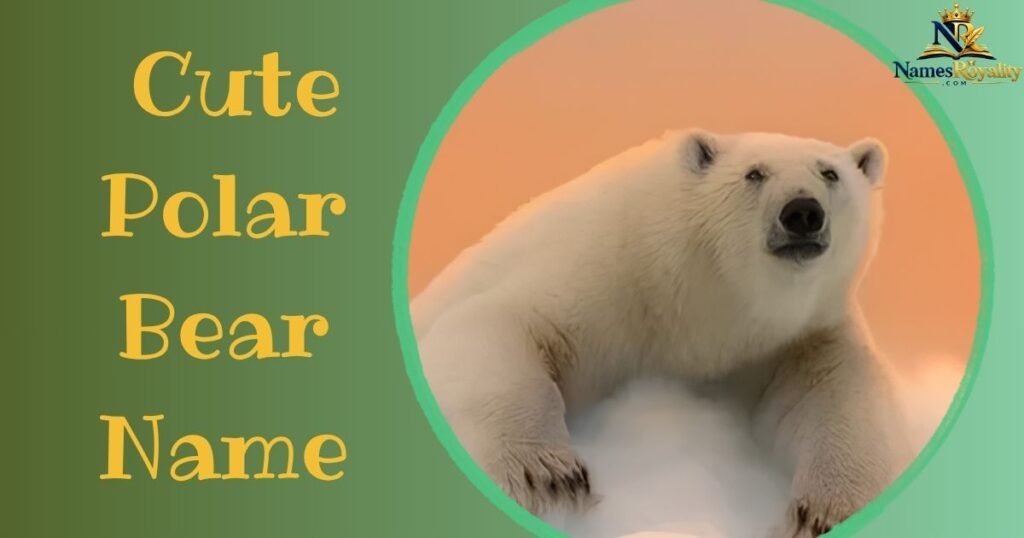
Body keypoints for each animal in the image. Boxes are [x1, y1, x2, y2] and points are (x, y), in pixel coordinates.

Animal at [412, 129, 908, 537]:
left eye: (830, 172)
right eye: (754, 173)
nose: (802, 212)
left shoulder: (795, 338)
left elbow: (828, 395)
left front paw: (825, 513)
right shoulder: (611, 275)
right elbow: (498, 323)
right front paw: (549, 480)